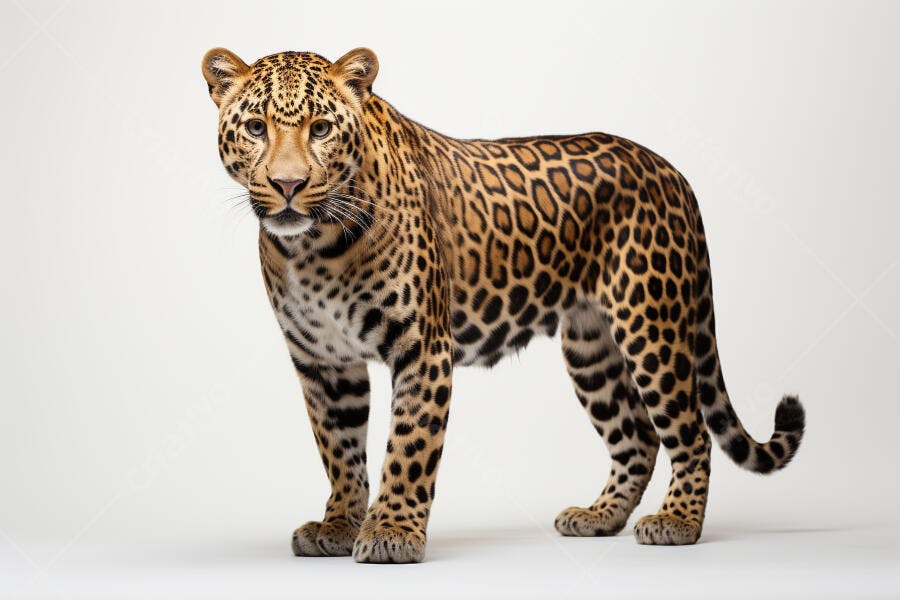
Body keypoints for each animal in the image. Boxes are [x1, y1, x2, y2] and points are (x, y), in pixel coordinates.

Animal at [201, 47, 805, 563]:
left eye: (321, 128)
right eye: (256, 128)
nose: (287, 184)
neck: (310, 248)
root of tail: (673, 173)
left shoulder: (422, 347)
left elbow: (409, 445)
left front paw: (392, 532)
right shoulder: (323, 362)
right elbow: (339, 450)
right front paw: (338, 525)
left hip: (651, 324)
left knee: (690, 432)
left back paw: (678, 522)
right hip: (590, 347)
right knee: (638, 435)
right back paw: (599, 516)